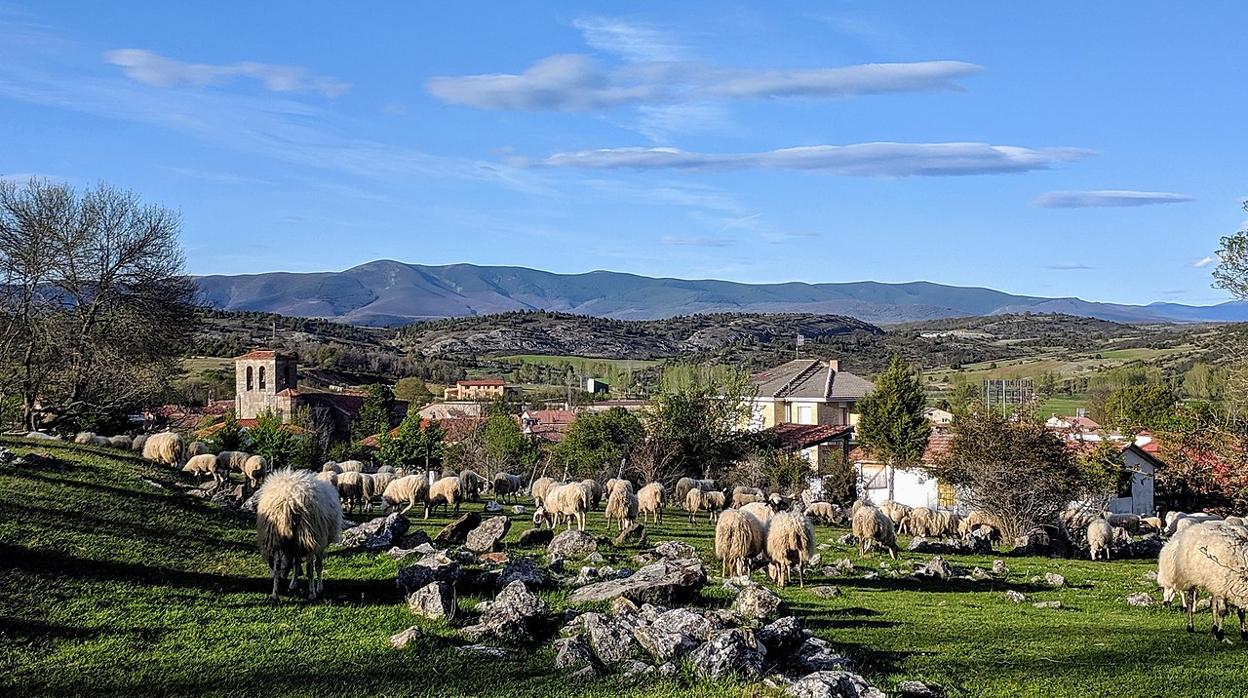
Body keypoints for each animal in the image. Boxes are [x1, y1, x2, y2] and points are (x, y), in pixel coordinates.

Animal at [254, 469, 344, 601]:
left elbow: (297, 564)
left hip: (278, 538)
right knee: (310, 568)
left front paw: (294, 584)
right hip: (308, 536)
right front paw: (317, 588)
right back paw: (312, 592)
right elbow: (315, 566)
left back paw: (275, 593)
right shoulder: (316, 543)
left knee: (279, 566)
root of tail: (290, 501)